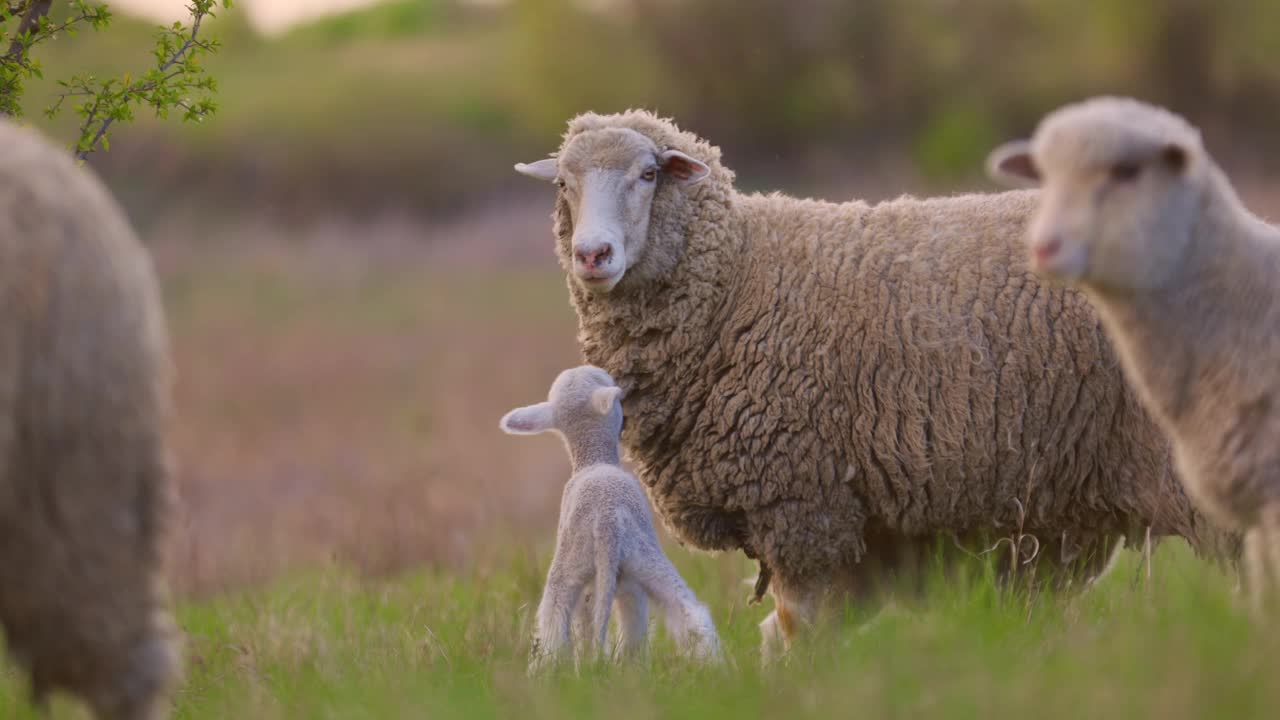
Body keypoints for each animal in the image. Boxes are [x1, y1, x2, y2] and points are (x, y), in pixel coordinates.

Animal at [499, 366, 721, 671]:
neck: (594, 459)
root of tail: (608, 524)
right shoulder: (625, 583)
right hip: (643, 560)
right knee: (688, 616)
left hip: (574, 563)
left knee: (554, 624)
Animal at [514, 109, 1233, 653]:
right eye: (564, 184)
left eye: (647, 174)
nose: (592, 255)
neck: (738, 278)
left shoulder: (800, 500)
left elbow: (800, 630)